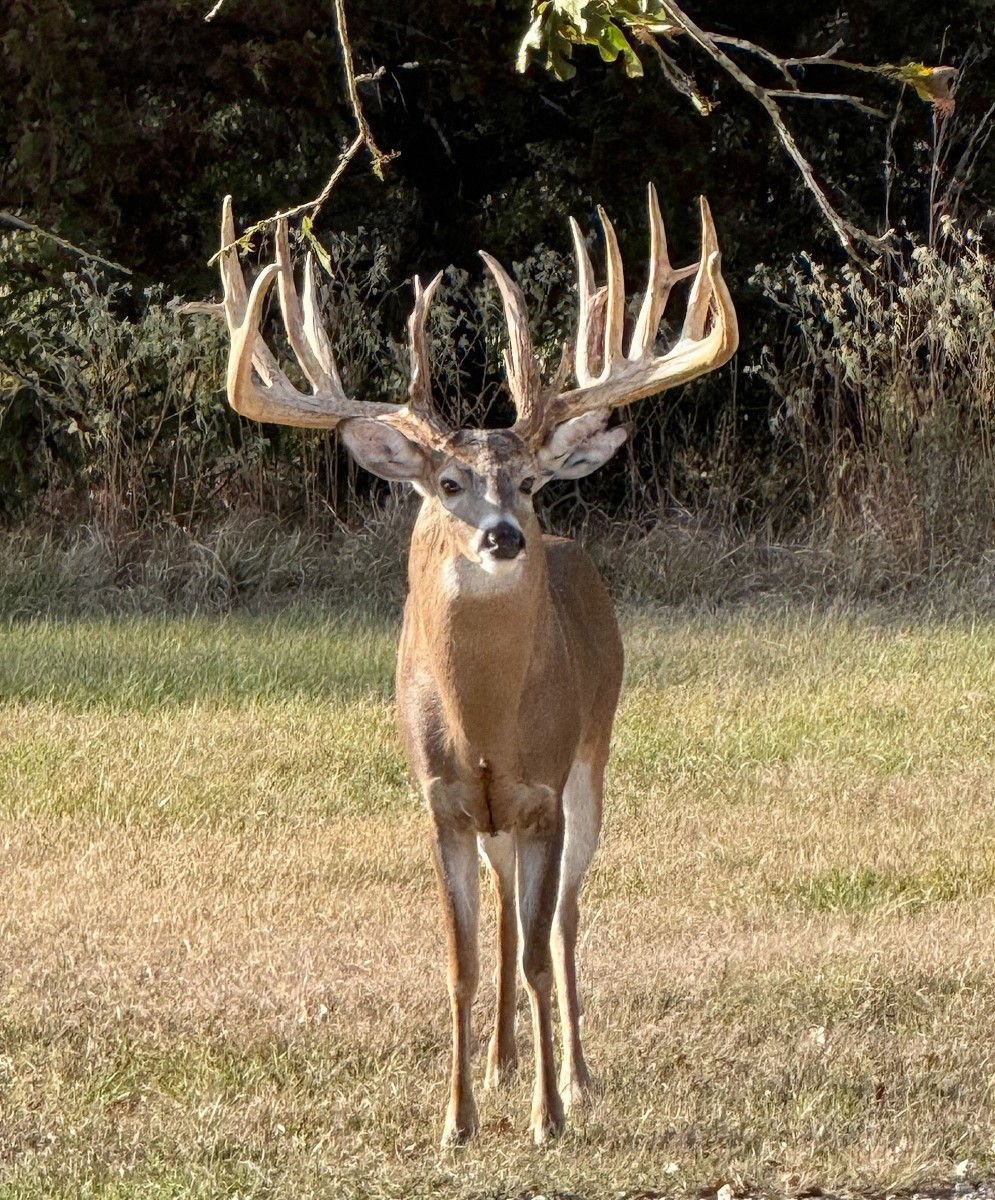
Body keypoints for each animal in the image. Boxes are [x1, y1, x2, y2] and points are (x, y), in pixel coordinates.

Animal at [197, 184, 737, 1146]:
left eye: (529, 480)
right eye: (449, 485)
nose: (504, 535)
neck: (484, 724)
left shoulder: (542, 790)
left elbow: (537, 951)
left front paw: (549, 1115)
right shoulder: (443, 802)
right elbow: (462, 958)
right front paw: (458, 1117)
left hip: (591, 763)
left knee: (562, 921)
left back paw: (575, 1073)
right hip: (494, 824)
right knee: (506, 915)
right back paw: (500, 1062)